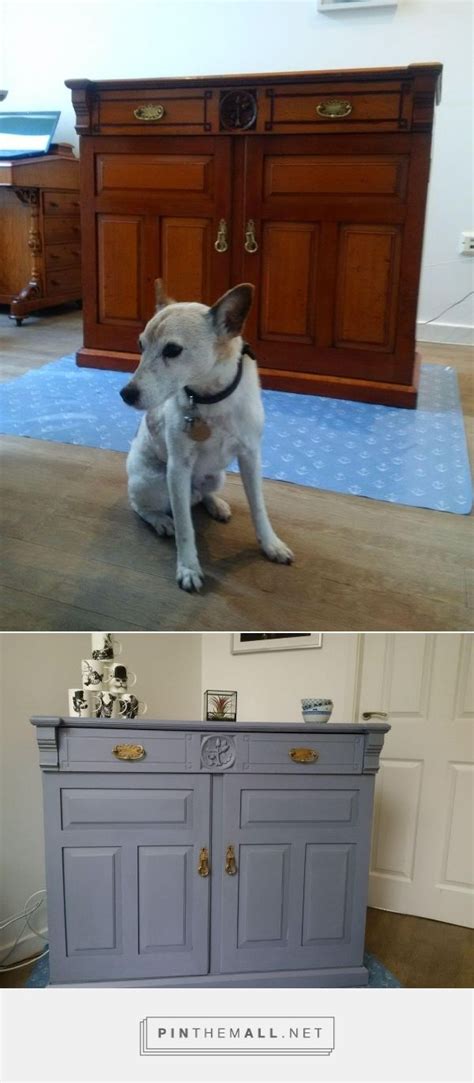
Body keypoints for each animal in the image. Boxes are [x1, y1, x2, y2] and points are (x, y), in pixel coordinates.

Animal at [120, 281, 294, 593]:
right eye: (140, 346)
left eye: (172, 350)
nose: (126, 393)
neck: (210, 398)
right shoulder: (178, 468)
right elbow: (185, 528)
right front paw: (188, 568)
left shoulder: (251, 458)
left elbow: (259, 508)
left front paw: (270, 544)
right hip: (155, 482)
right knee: (141, 506)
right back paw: (162, 521)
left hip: (217, 476)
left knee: (203, 494)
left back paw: (216, 505)